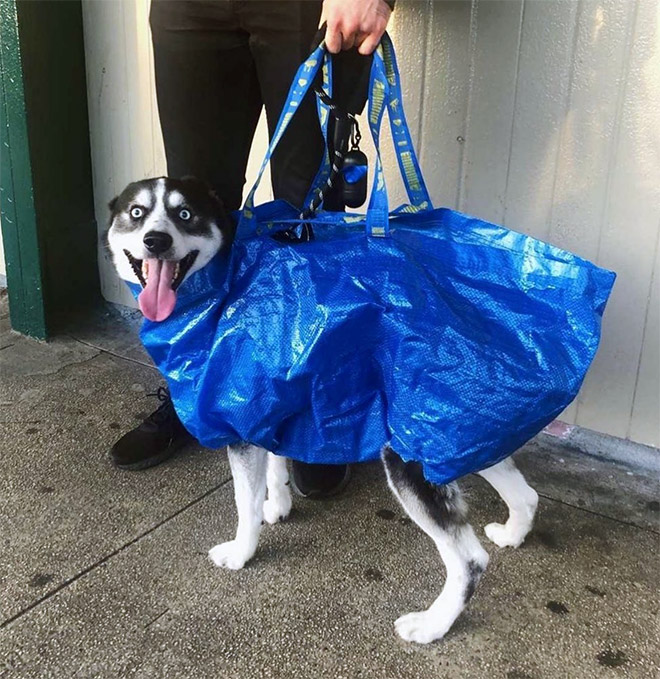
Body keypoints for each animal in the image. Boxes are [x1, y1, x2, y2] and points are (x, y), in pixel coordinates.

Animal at [108, 178, 540, 644]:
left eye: (184, 214)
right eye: (136, 212)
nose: (156, 240)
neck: (230, 285)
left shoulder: (243, 422)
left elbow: (244, 504)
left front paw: (243, 551)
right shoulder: (271, 406)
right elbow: (274, 466)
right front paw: (277, 506)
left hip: (414, 454)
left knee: (470, 561)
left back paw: (432, 625)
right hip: (459, 436)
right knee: (525, 493)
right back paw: (512, 534)